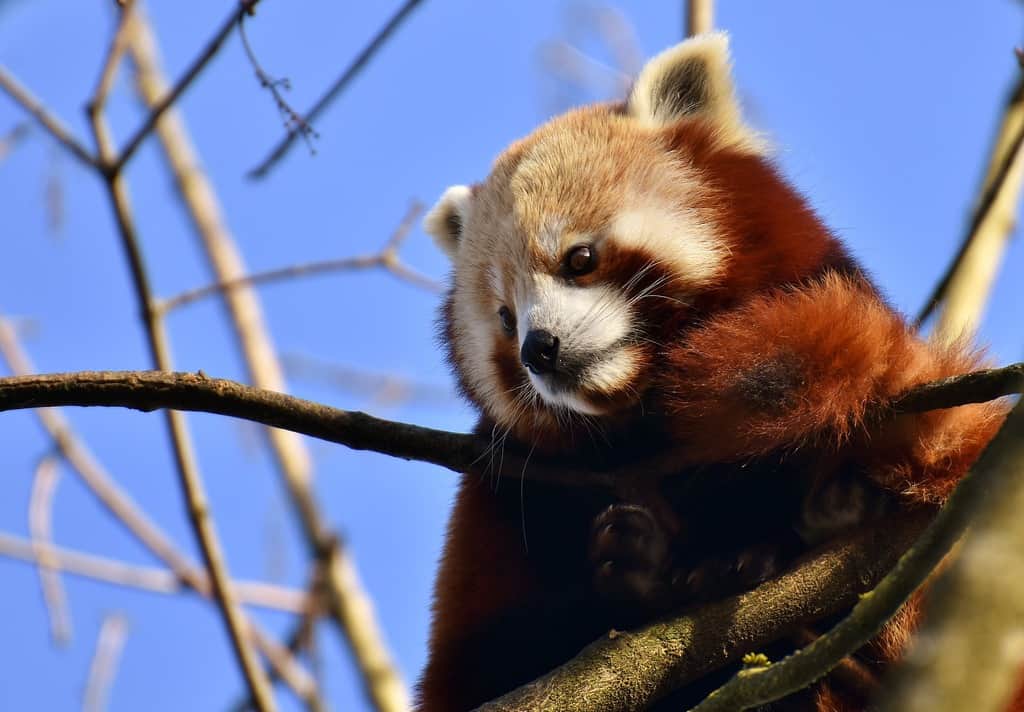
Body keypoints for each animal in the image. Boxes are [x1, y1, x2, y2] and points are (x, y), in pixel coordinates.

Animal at [417, 33, 1007, 712]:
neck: (648, 421)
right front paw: (640, 570)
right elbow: (485, 662)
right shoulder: (507, 489)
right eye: (505, 318)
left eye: (579, 259)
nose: (538, 349)